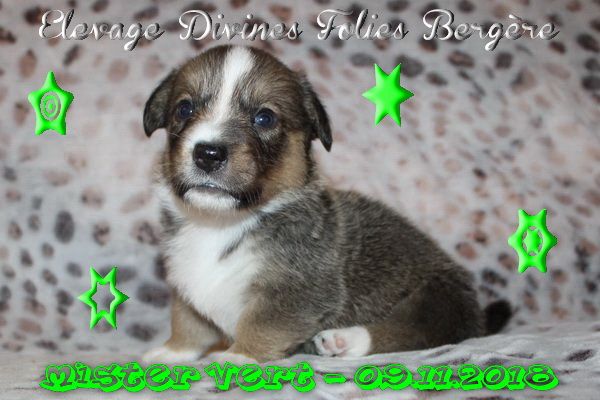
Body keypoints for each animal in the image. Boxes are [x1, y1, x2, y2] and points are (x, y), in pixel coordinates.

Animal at [142, 44, 510, 363]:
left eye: (264, 118)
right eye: (184, 109)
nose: (208, 153)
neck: (220, 223)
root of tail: (478, 317)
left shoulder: (297, 292)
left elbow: (260, 324)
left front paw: (238, 358)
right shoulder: (187, 287)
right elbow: (188, 322)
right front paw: (172, 352)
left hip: (436, 297)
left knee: (412, 331)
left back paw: (343, 340)